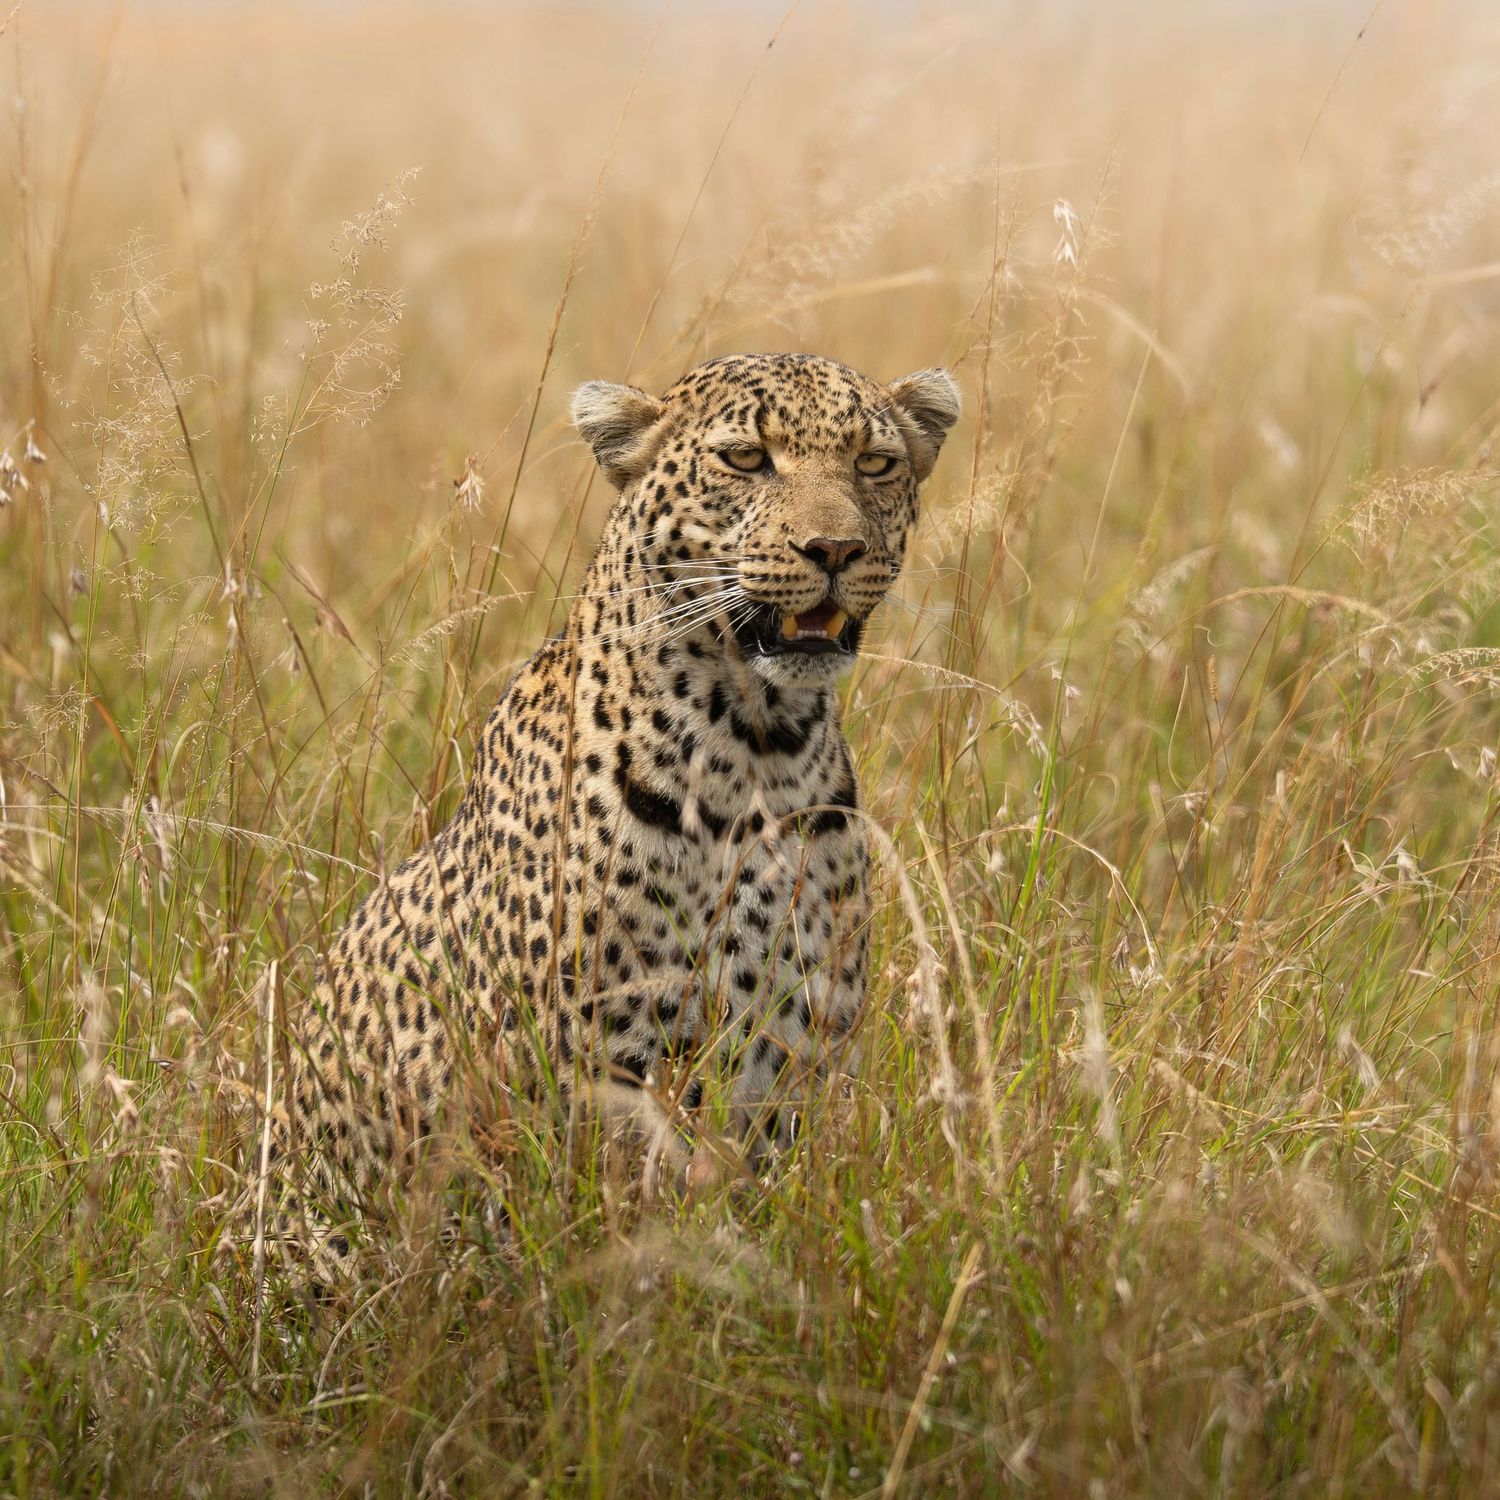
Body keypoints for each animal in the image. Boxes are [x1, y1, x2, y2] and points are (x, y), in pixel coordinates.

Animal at [264, 352, 960, 1244]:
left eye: (874, 463)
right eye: (746, 459)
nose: (835, 547)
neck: (759, 747)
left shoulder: (800, 1047)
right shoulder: (603, 1066)